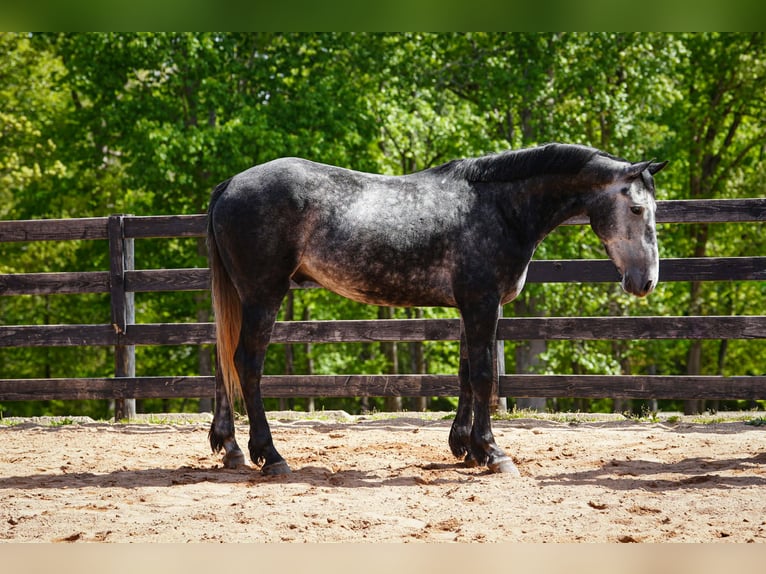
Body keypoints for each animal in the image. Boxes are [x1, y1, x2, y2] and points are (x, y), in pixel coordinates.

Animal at [206, 142, 667, 476]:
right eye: (636, 208)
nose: (645, 281)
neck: (499, 208)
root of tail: (229, 184)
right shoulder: (482, 304)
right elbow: (483, 376)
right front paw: (493, 452)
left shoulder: (471, 306)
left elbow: (465, 375)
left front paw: (466, 447)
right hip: (263, 295)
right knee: (246, 363)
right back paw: (271, 455)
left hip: (241, 297)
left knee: (223, 361)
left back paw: (231, 449)